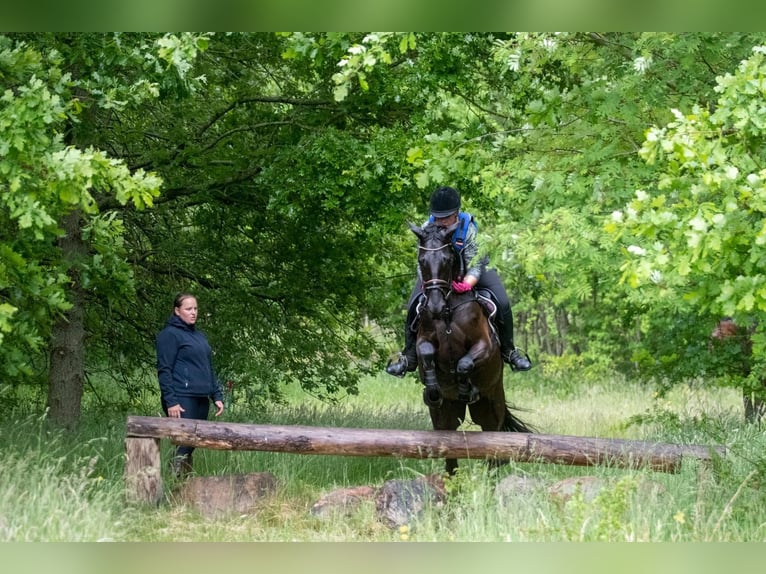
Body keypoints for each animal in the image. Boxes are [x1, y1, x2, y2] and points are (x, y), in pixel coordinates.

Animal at [408, 222, 536, 476]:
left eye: (447, 259)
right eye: (421, 260)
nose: (435, 307)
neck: (448, 309)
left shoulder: (484, 346)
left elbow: (464, 363)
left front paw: (466, 388)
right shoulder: (423, 341)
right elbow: (426, 353)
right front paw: (432, 389)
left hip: (491, 405)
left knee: (493, 441)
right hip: (446, 415)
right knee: (448, 445)